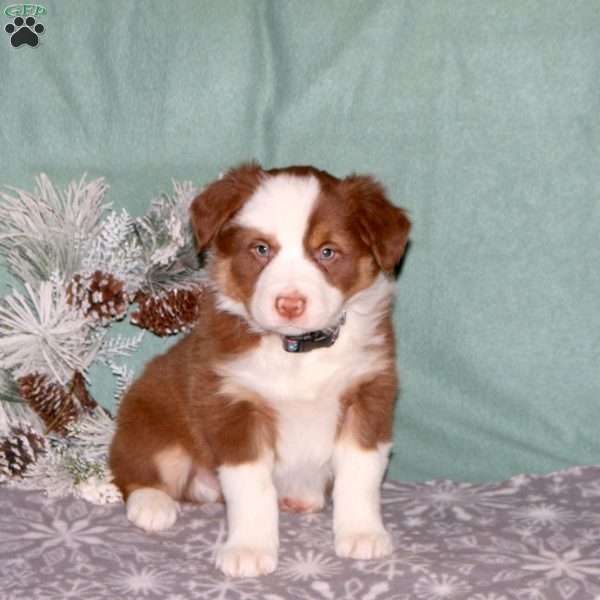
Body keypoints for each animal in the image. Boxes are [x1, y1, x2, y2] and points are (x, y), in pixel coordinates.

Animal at [109, 163, 412, 576]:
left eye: (327, 252)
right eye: (261, 249)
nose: (290, 304)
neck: (297, 351)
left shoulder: (369, 391)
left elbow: (361, 471)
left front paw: (362, 533)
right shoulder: (233, 402)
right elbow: (250, 485)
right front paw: (249, 549)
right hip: (150, 416)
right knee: (133, 467)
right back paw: (152, 504)